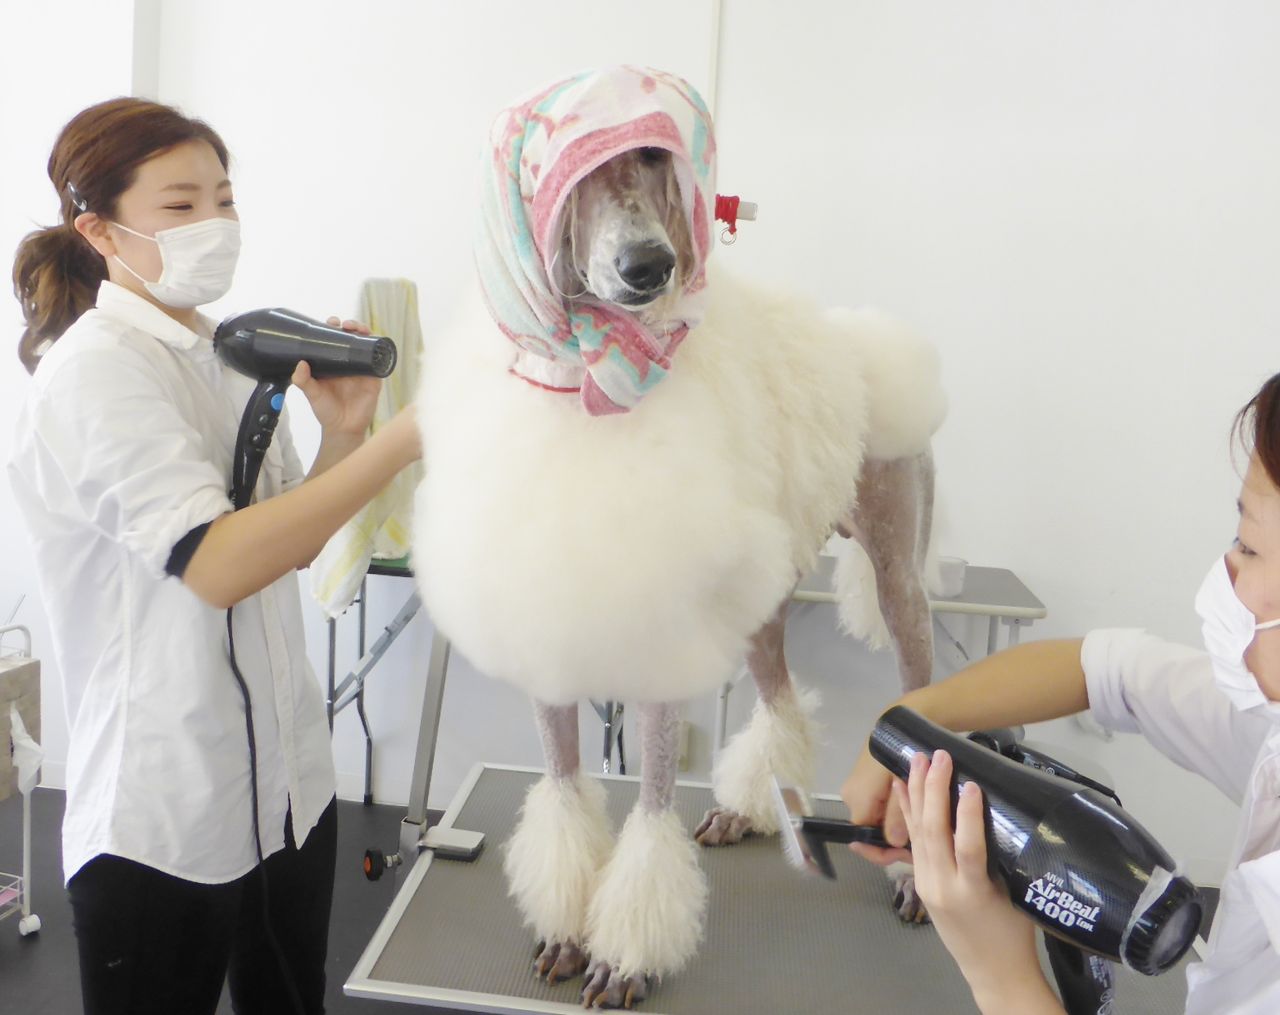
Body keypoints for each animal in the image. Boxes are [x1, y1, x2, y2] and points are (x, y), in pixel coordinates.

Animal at [412, 67, 945, 1008]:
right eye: (585, 172)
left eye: (656, 159)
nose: (648, 266)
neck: (591, 381)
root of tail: (871, 341)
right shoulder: (547, 627)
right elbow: (563, 787)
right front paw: (563, 927)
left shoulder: (662, 643)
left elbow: (653, 799)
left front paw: (627, 954)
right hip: (763, 595)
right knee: (777, 696)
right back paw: (751, 804)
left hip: (898, 578)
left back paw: (916, 875)